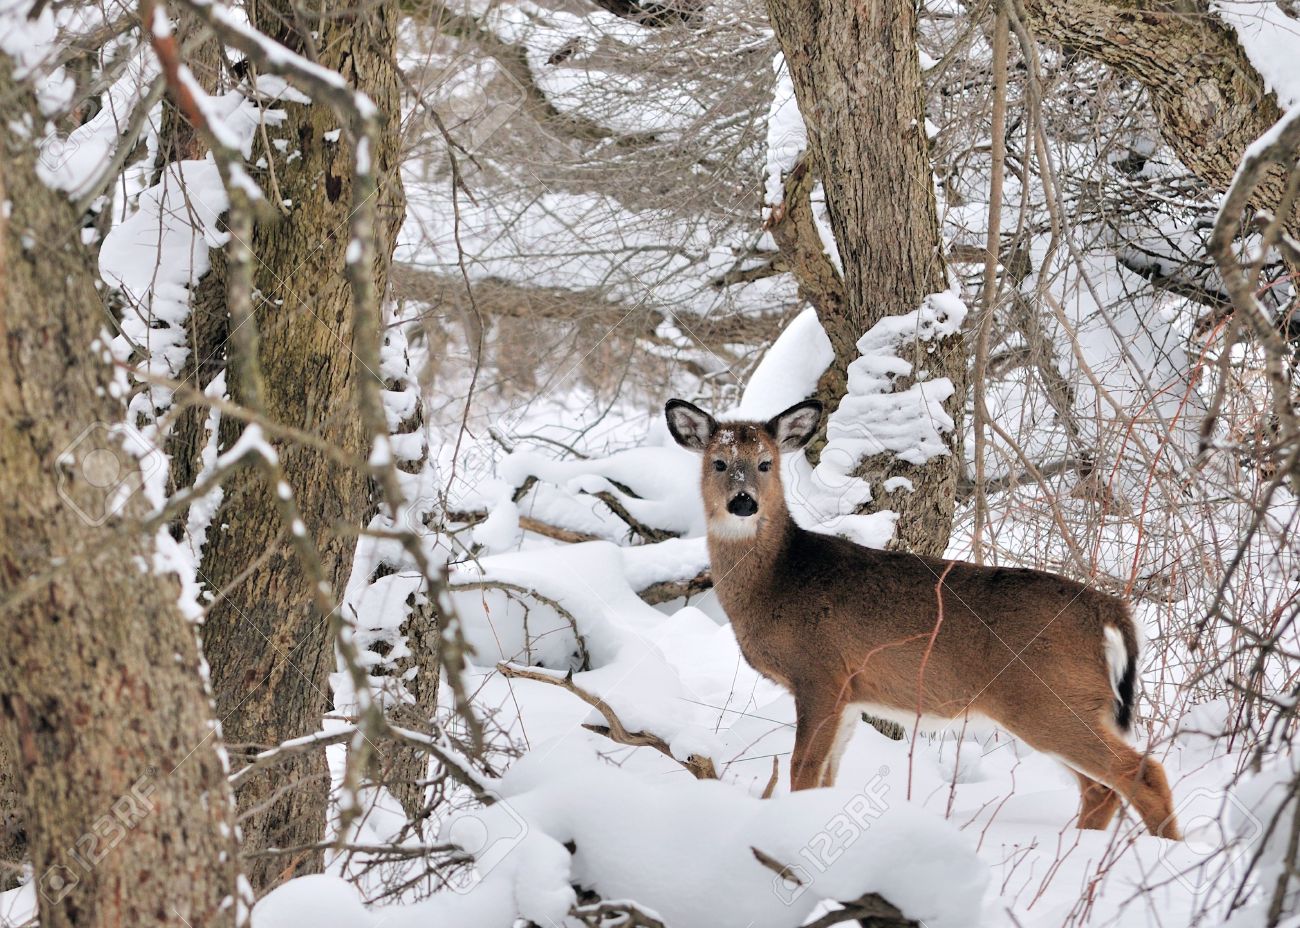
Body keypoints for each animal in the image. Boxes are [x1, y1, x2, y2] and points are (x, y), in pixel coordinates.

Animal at [665, 395, 1185, 837]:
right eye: (718, 463)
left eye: (765, 463)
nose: (743, 502)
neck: (778, 581)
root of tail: (1111, 611)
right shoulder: (850, 692)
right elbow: (828, 774)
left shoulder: (820, 672)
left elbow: (803, 770)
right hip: (1066, 704)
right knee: (1100, 789)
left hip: (1048, 699)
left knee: (1140, 772)